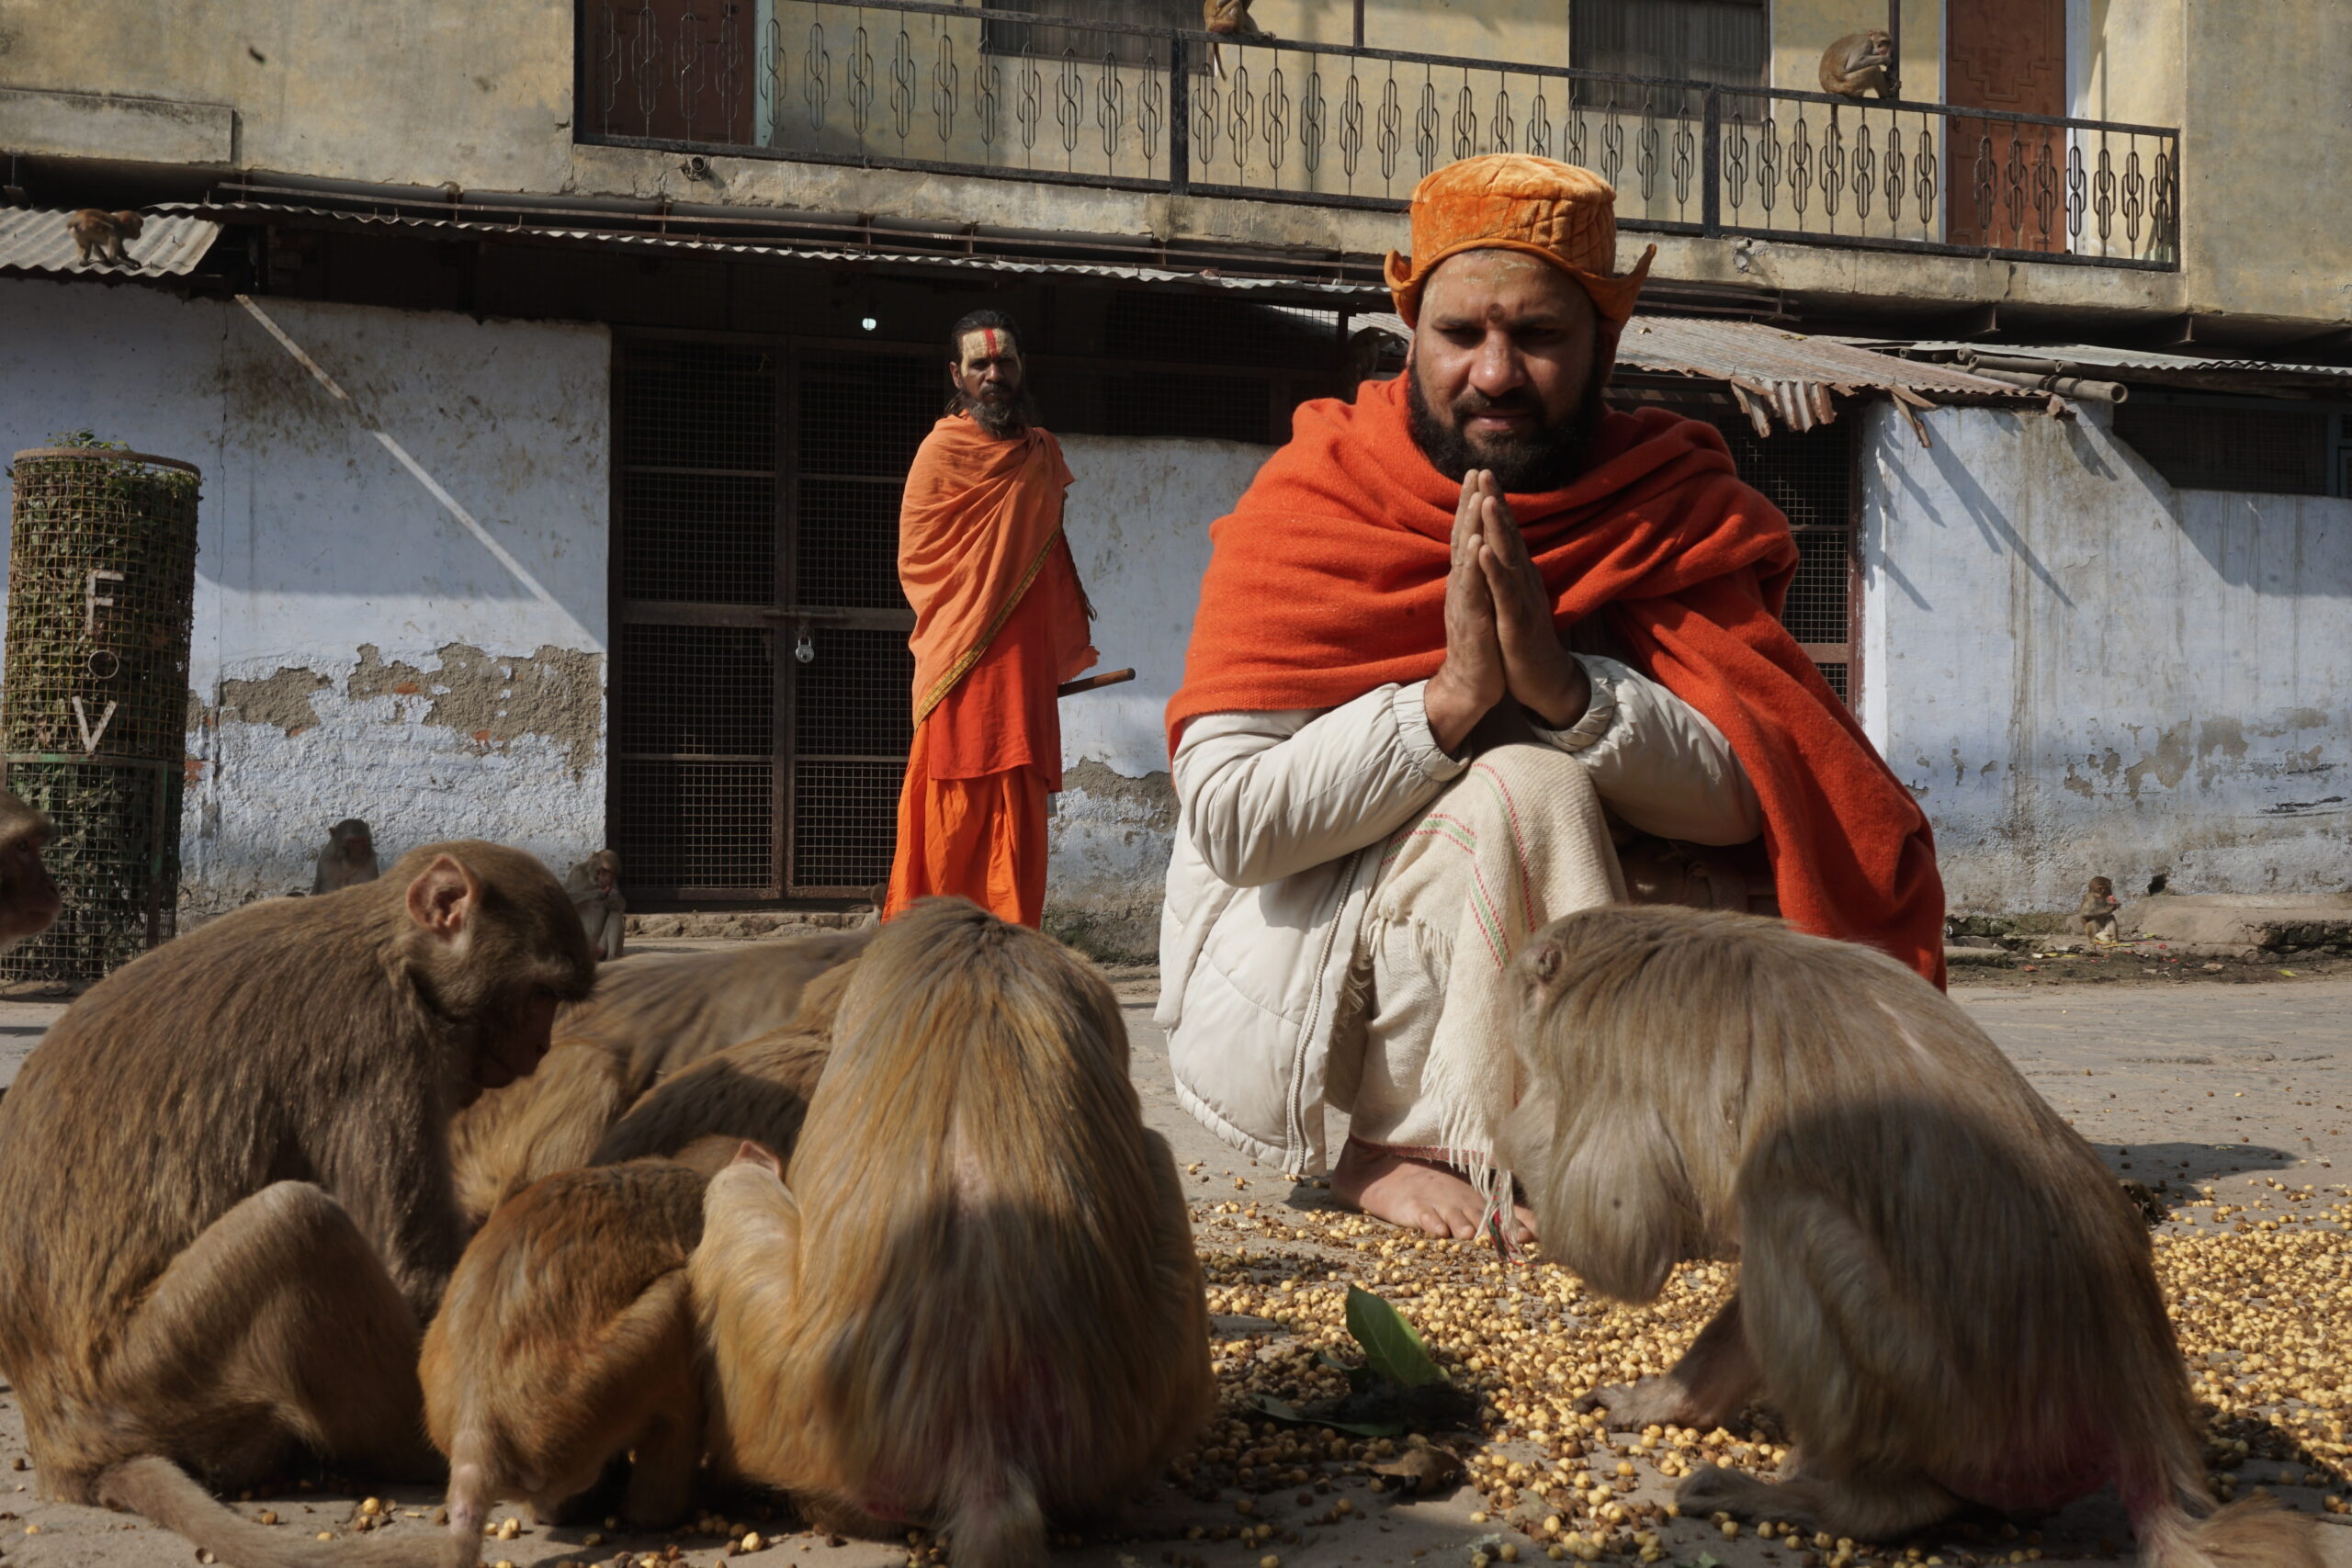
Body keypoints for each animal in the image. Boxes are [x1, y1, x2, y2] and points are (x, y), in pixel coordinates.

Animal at [0, 846, 597, 1568]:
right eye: (539, 996)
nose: (540, 1049)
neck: (393, 953)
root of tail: (64, 1448)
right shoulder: (380, 1048)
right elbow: (417, 1276)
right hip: (150, 1377)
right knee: (297, 1223)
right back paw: (438, 1452)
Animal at [1496, 902, 2324, 1561]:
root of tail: (2134, 1401)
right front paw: (1671, 1399)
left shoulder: (1595, 1046)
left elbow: (1622, 1244)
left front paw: (1520, 1151)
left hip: (1955, 1410)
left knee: (1789, 1214)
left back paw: (1852, 1503)